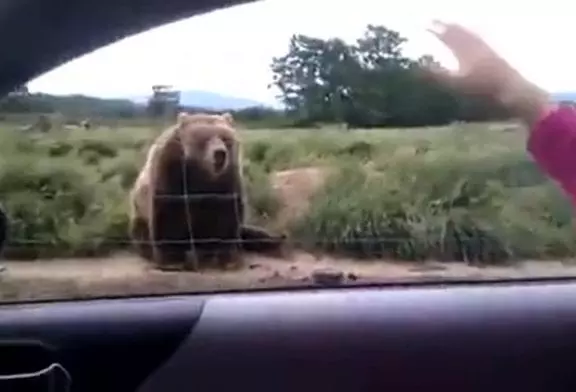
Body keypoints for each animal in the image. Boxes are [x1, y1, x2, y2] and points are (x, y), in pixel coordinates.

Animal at [129, 110, 286, 270]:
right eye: (204, 138)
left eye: (225, 138)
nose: (219, 154)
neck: (203, 173)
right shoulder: (170, 173)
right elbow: (169, 214)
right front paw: (173, 259)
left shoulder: (226, 180)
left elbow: (227, 215)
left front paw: (226, 257)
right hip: (139, 213)